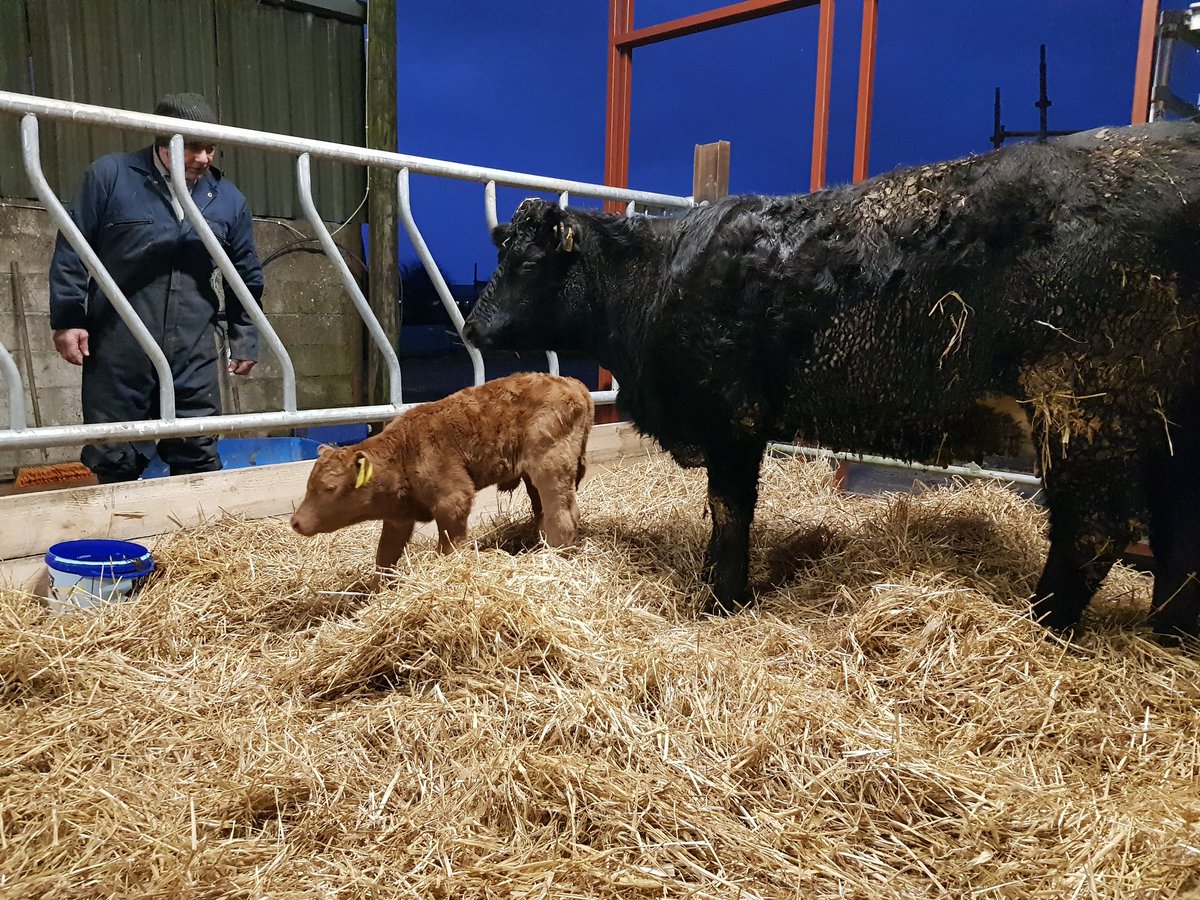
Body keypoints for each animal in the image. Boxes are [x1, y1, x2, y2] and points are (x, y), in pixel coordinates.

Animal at [288, 372, 592, 571]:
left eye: (330, 487)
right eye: (309, 484)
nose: (295, 522)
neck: (403, 451)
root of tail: (571, 383)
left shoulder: (453, 498)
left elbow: (449, 545)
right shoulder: (399, 518)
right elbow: (385, 555)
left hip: (550, 467)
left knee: (563, 515)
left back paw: (554, 557)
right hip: (535, 476)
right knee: (543, 511)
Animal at [463, 123, 1200, 638]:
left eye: (529, 263)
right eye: (503, 254)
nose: (471, 325)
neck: (657, 279)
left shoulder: (733, 415)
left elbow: (730, 510)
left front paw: (722, 597)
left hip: (1082, 400)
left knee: (1096, 527)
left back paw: (1042, 628)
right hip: (1167, 422)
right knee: (1178, 529)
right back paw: (1169, 634)